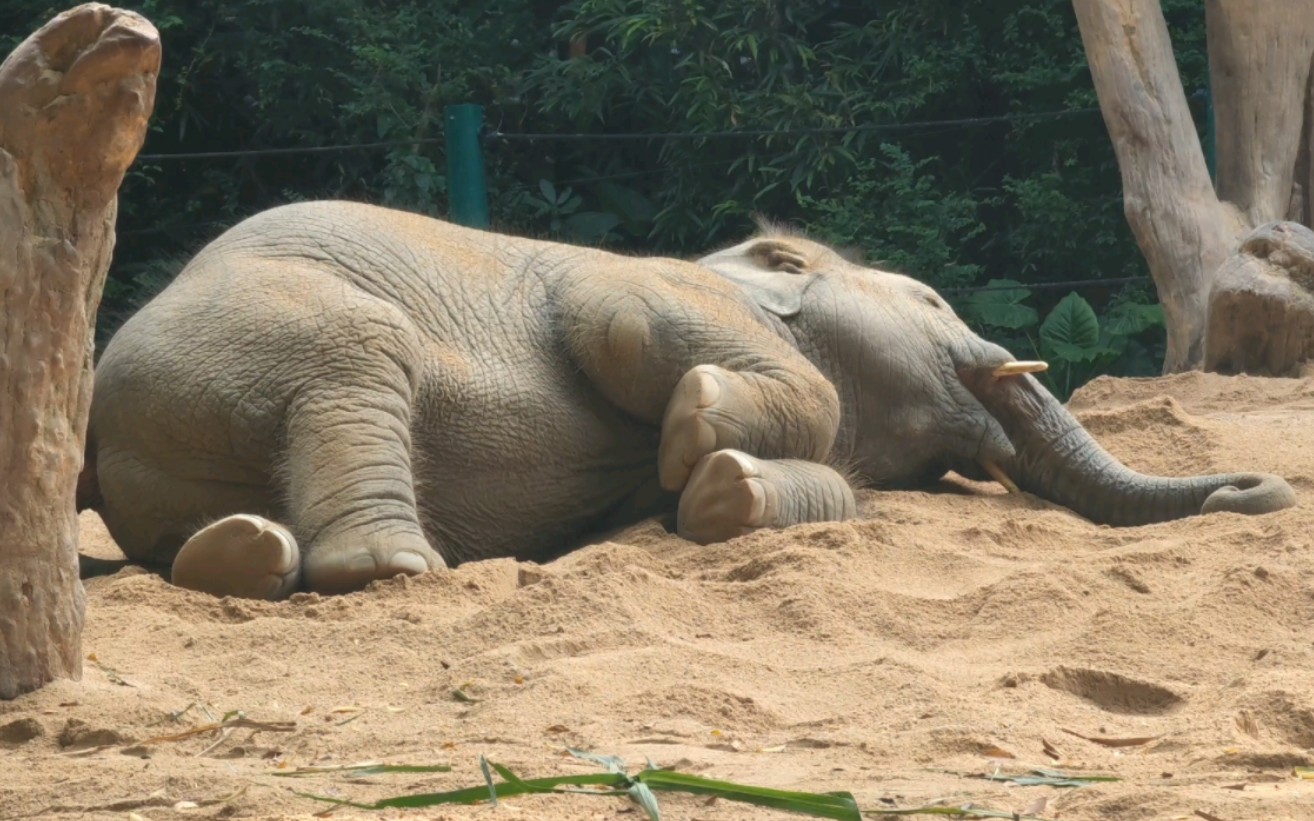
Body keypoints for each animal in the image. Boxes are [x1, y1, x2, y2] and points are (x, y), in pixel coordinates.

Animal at [79, 198, 1292, 596]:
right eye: (938, 301)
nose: (1261, 489)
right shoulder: (655, 284)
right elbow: (623, 323)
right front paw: (700, 420)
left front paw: (718, 486)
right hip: (266, 325)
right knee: (357, 361)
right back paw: (388, 571)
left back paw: (237, 555)